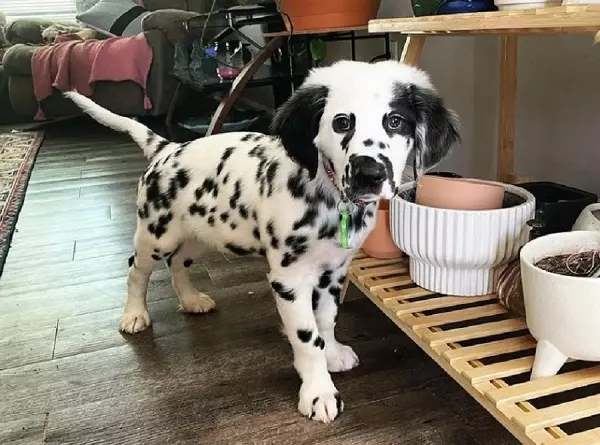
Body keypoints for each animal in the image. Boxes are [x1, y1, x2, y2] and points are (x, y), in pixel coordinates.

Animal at [64, 59, 460, 424]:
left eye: (395, 122)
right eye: (342, 123)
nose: (369, 174)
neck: (330, 199)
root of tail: (166, 147)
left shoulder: (334, 271)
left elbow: (327, 320)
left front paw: (332, 352)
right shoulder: (289, 280)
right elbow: (307, 337)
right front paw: (318, 392)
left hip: (199, 232)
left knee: (178, 263)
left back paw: (191, 300)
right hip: (156, 233)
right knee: (137, 271)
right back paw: (134, 314)